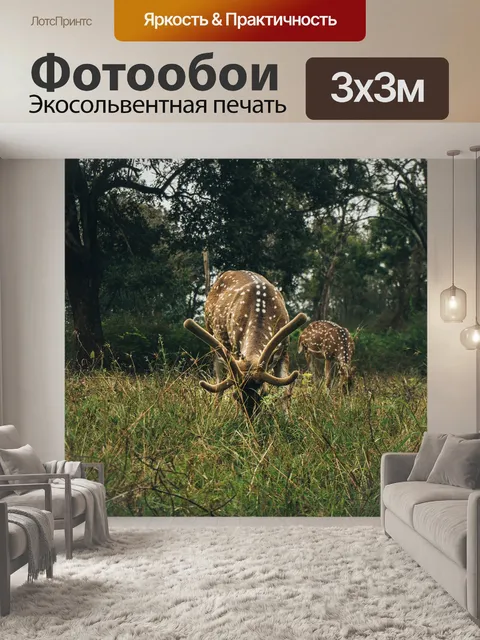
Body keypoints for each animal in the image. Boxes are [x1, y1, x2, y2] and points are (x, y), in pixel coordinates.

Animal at [184, 270, 307, 418]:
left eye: (263, 394)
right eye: (236, 396)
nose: (251, 418)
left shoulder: (284, 350)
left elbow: (284, 390)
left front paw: (287, 419)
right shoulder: (236, 348)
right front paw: (239, 417)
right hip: (213, 338)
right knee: (219, 381)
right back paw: (216, 414)